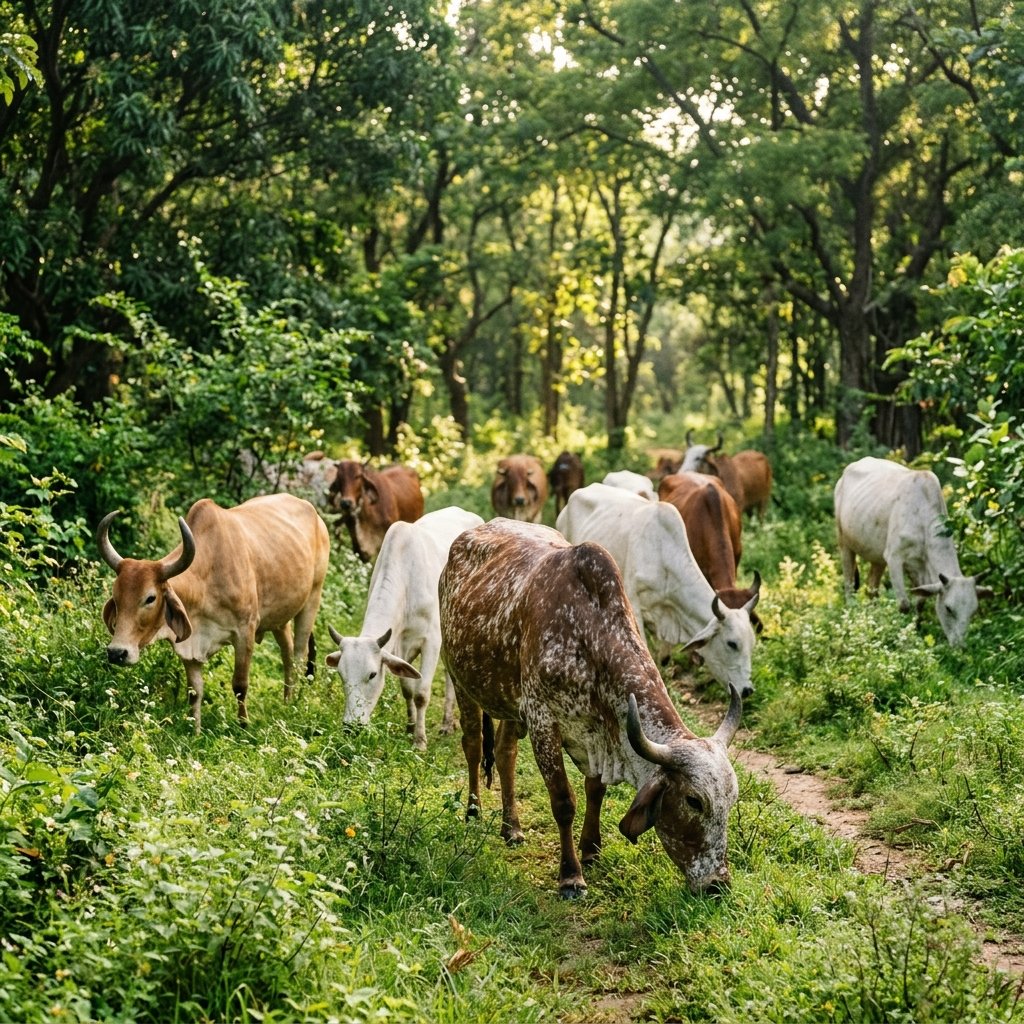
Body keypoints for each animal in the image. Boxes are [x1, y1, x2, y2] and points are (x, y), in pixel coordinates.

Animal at [97, 494, 331, 734]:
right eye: (116, 597)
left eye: (150, 598)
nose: (117, 653)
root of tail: (312, 512)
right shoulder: (190, 645)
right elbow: (194, 691)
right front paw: (195, 731)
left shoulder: (245, 632)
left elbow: (240, 685)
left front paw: (243, 725)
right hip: (279, 618)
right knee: (287, 654)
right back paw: (286, 700)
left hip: (312, 599)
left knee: (299, 655)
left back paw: (296, 704)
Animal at [324, 506, 484, 749]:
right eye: (341, 675)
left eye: (372, 675)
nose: (352, 727)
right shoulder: (399, 648)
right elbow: (408, 690)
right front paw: (410, 728)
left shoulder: (432, 641)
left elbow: (421, 694)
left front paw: (420, 741)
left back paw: (448, 723)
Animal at [439, 518, 743, 899]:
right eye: (693, 801)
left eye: (731, 802)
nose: (718, 883)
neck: (589, 631)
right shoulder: (542, 720)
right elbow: (563, 802)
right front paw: (571, 875)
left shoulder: (595, 732)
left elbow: (594, 789)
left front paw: (591, 848)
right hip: (460, 680)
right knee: (472, 745)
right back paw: (472, 810)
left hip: (510, 702)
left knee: (506, 751)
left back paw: (512, 827)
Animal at [834, 456, 992, 646]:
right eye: (948, 608)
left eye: (973, 611)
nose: (959, 646)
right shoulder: (894, 557)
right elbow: (904, 605)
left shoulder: (920, 566)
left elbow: (920, 601)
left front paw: (915, 630)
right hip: (844, 543)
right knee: (849, 585)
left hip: (877, 558)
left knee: (871, 588)